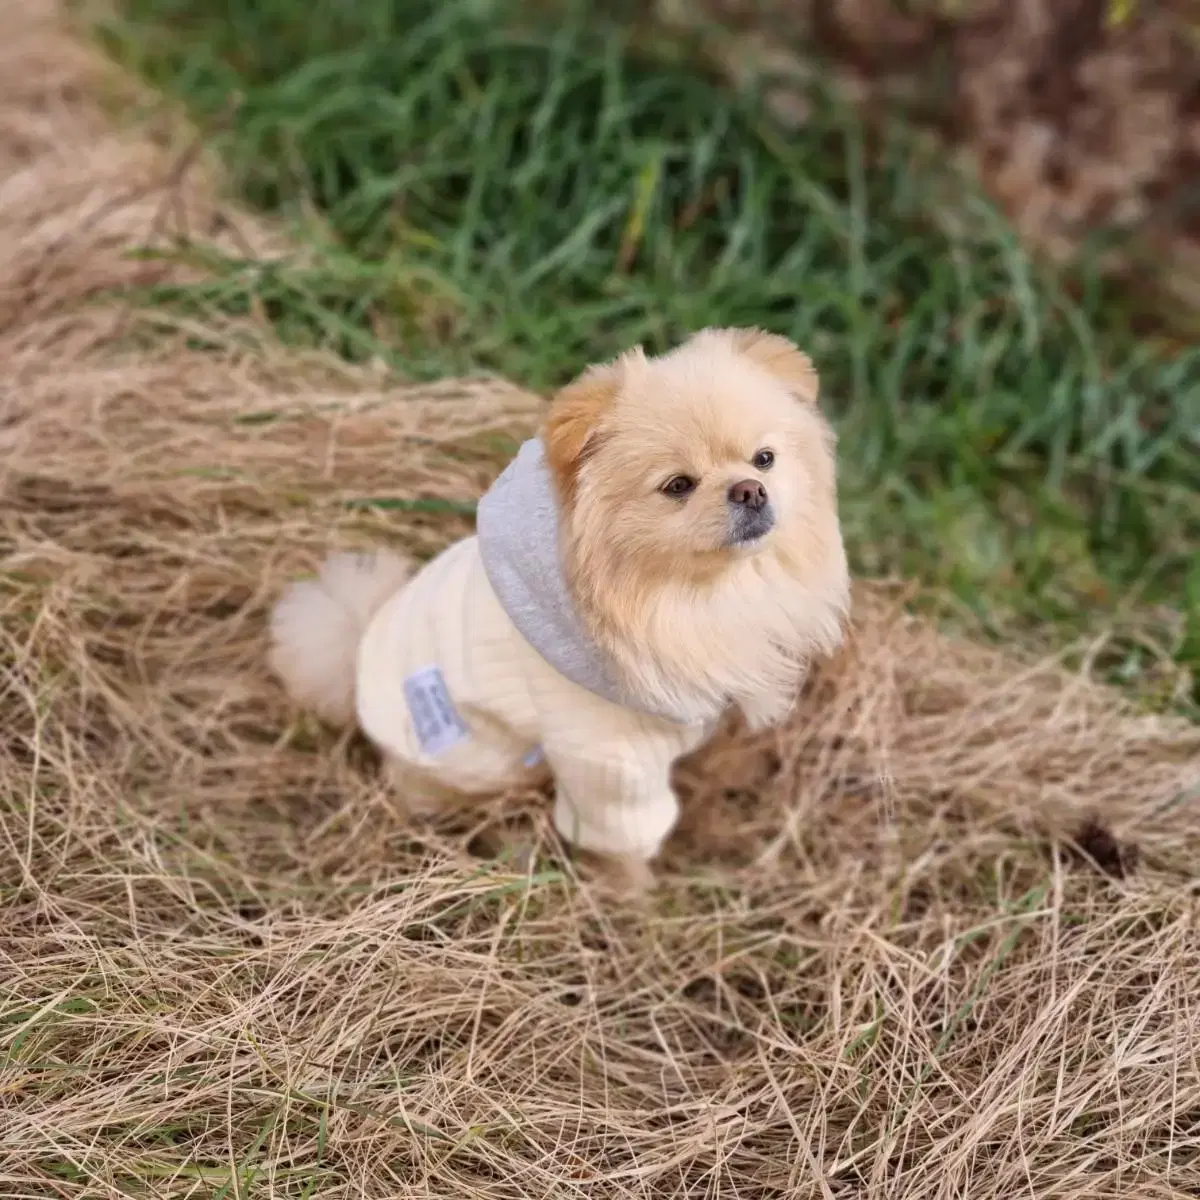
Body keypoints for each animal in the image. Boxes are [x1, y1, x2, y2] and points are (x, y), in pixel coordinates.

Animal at [272, 328, 854, 892]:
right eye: (678, 486)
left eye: (765, 459)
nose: (750, 490)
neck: (698, 595)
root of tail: (357, 648)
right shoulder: (609, 758)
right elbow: (623, 839)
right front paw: (639, 900)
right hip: (472, 755)